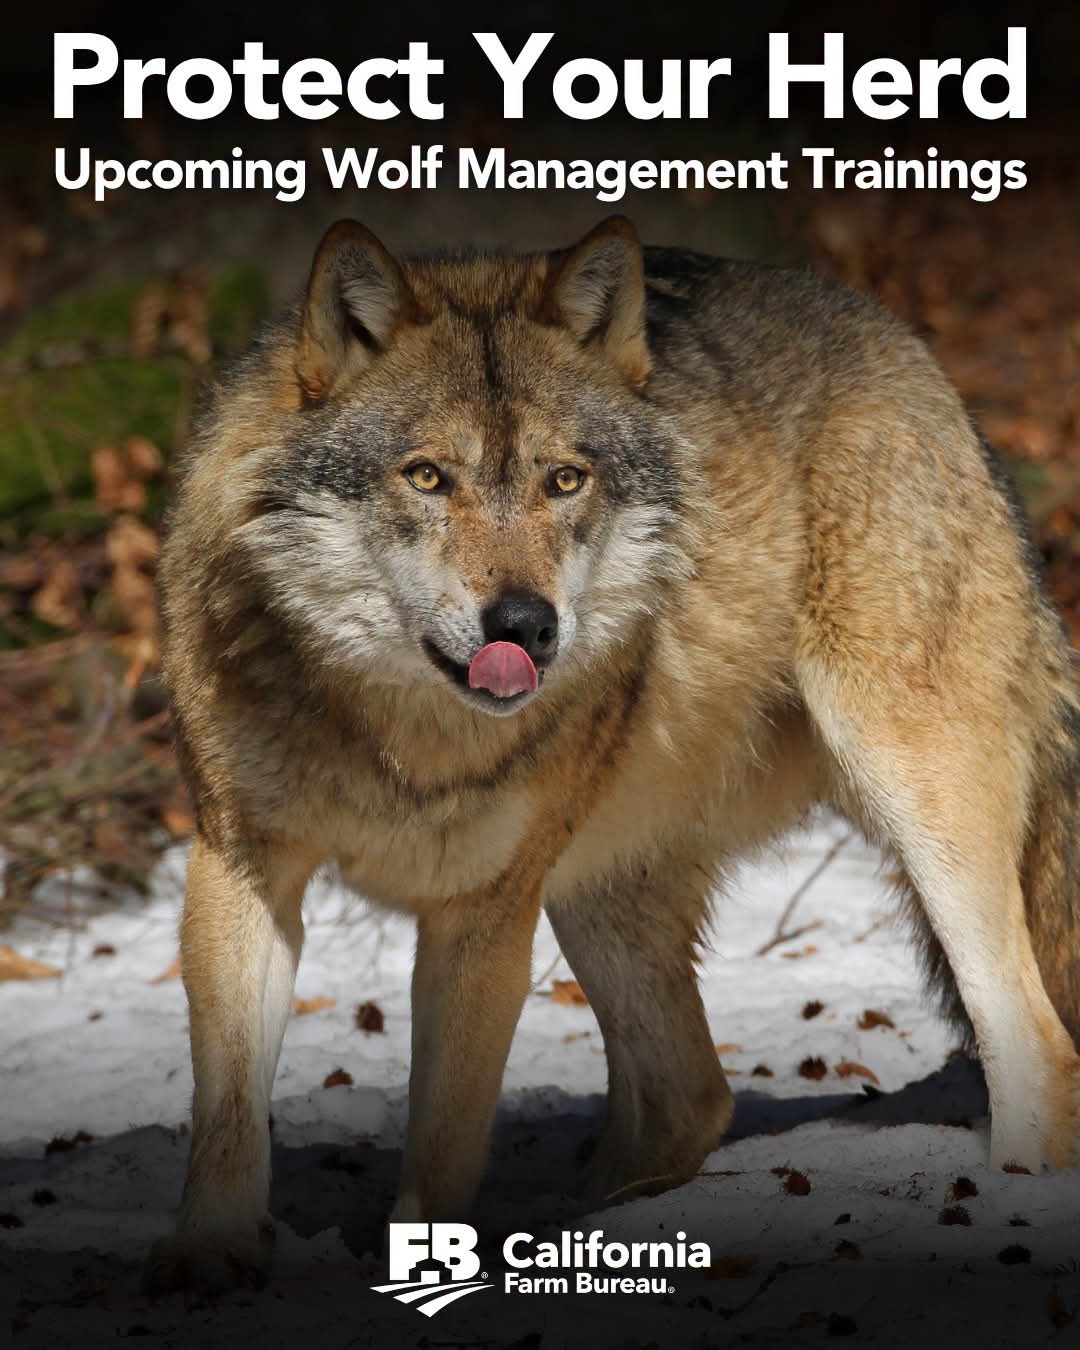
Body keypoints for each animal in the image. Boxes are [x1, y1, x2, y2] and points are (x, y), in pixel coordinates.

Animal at [145, 216, 1080, 1294]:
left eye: (564, 479)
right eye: (427, 476)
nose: (525, 624)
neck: (400, 734)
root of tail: (916, 357)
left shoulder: (484, 915)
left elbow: (444, 1139)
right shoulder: (240, 866)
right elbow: (226, 1110)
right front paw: (211, 1258)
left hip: (915, 795)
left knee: (1036, 1039)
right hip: (598, 889)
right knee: (693, 1095)